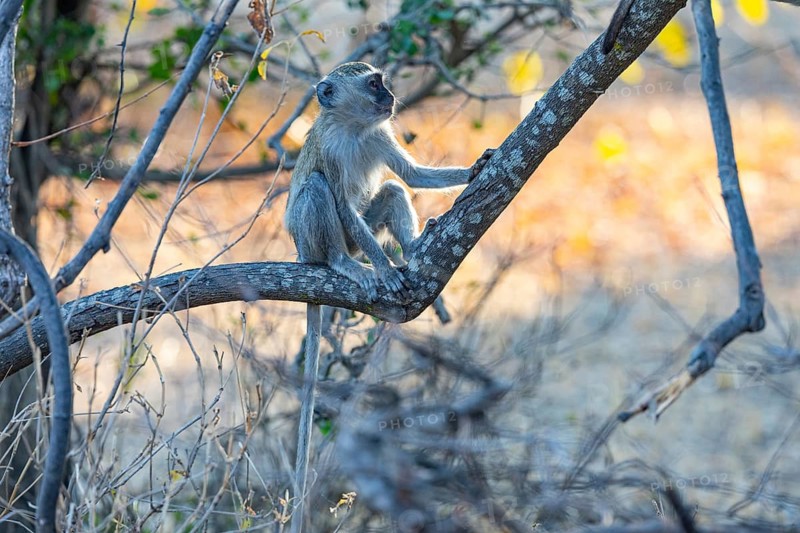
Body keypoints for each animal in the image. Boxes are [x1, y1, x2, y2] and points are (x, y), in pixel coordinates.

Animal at [283, 61, 493, 530]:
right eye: (374, 84)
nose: (391, 97)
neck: (353, 128)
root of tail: (302, 254)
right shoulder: (330, 148)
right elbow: (341, 200)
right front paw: (381, 269)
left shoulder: (379, 133)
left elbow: (411, 177)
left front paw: (474, 171)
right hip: (313, 241)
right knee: (318, 189)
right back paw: (345, 263)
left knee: (393, 191)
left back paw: (413, 249)